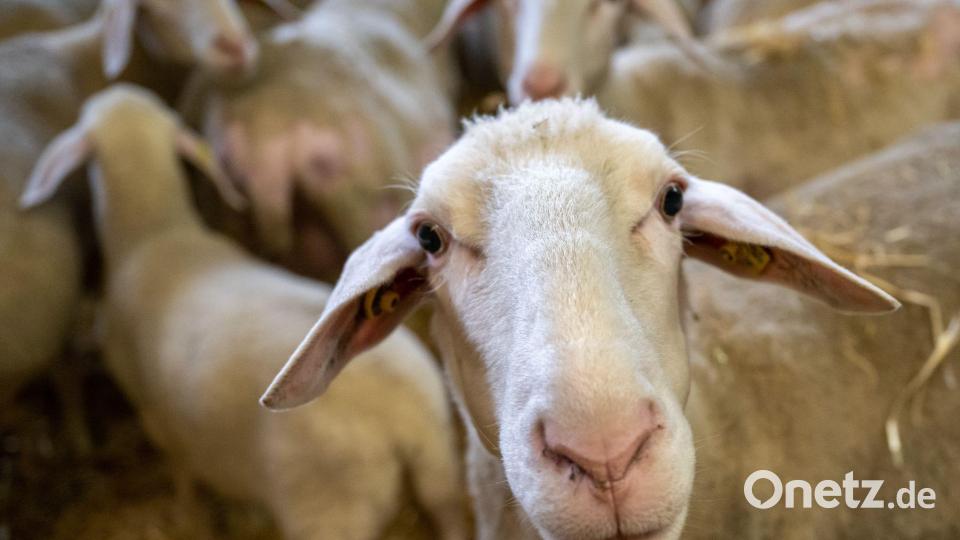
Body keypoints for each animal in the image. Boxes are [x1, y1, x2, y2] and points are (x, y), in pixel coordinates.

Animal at [20, 84, 468, 540]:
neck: (155, 234)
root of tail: (404, 417)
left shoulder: (157, 419)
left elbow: (184, 476)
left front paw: (188, 518)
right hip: (441, 469)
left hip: (328, 511)